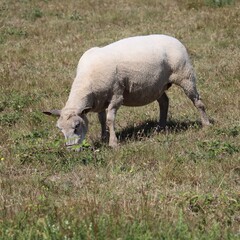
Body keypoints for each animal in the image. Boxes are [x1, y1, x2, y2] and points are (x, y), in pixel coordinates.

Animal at [43, 34, 210, 149]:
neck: (86, 81)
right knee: (164, 102)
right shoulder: (99, 100)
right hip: (157, 85)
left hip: (185, 75)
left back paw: (206, 124)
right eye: (59, 129)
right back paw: (161, 127)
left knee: (197, 102)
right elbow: (101, 119)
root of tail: (174, 39)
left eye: (77, 126)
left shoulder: (116, 96)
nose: (71, 149)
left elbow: (110, 120)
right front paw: (103, 137)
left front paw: (113, 143)